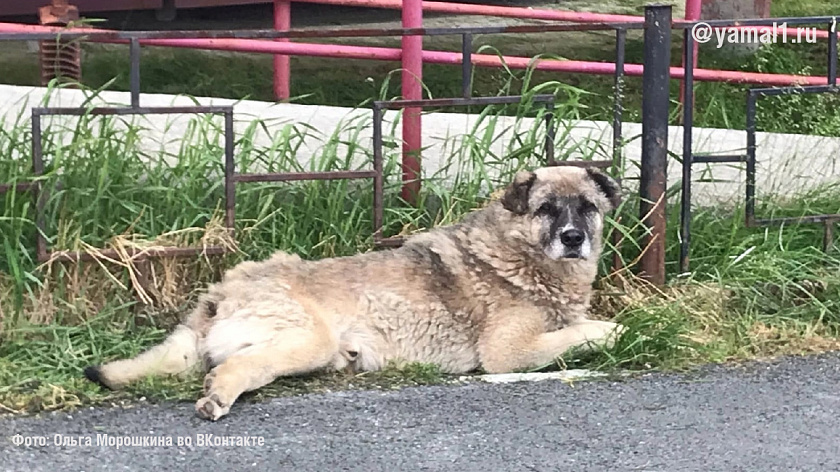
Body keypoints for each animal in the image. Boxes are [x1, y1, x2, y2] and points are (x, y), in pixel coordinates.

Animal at [85, 166, 624, 420]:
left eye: (586, 207)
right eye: (547, 208)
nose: (572, 238)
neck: (522, 253)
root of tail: (219, 293)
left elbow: (577, 327)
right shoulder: (507, 354)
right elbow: (588, 332)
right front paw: (615, 331)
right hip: (308, 340)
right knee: (233, 368)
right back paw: (217, 397)